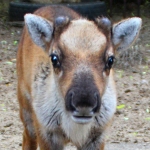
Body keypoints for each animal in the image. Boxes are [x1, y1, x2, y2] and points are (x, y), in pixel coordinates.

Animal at [16, 5, 142, 149]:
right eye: (54, 58)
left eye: (110, 60)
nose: (84, 102)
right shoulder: (46, 133)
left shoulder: (97, 136)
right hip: (26, 108)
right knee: (27, 136)